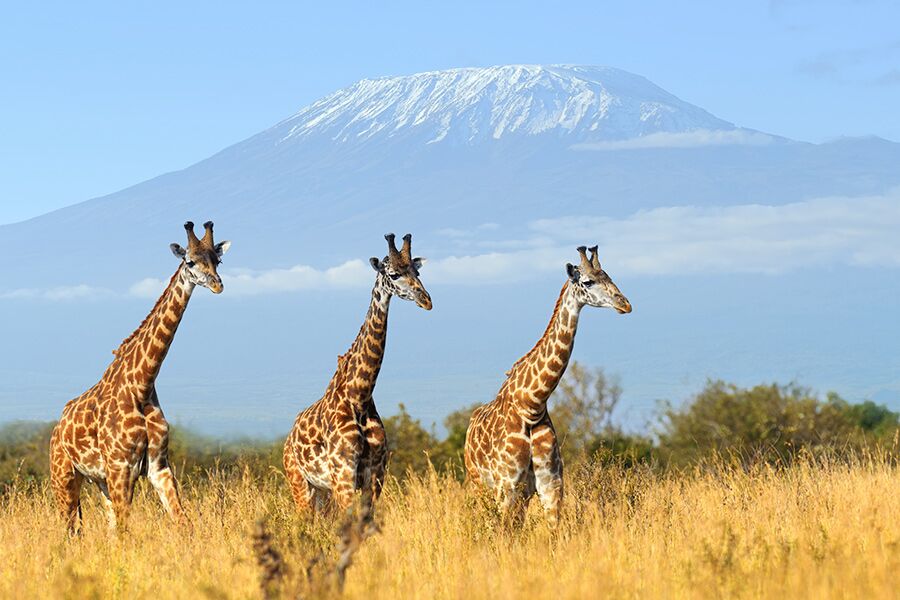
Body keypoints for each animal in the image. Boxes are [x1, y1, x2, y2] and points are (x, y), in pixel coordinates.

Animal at [49, 221, 231, 534]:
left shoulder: (158, 466)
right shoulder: (121, 467)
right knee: (71, 529)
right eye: (190, 261)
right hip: (64, 476)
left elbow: (183, 523)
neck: (142, 385)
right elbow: (126, 531)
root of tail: (57, 428)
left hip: (100, 481)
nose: (217, 284)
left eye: (217, 260)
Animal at [283, 233, 432, 514]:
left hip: (323, 490)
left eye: (417, 271)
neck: (359, 395)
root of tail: (288, 439)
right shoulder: (343, 474)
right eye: (394, 274)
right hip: (300, 483)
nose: (426, 300)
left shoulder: (376, 474)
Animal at [464, 246, 631, 526]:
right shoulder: (507, 484)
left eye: (609, 275)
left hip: (521, 493)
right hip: (480, 485)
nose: (625, 304)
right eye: (588, 281)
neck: (533, 404)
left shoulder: (550, 484)